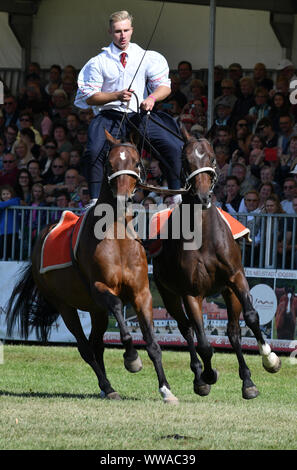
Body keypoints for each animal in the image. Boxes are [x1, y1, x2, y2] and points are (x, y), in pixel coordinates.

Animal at [5, 131, 178, 404]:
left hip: (96, 310)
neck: (117, 237)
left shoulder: (141, 293)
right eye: (109, 163)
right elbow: (120, 314)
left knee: (96, 345)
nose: (123, 199)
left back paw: (107, 387)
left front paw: (166, 390)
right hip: (65, 306)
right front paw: (132, 359)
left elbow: (152, 343)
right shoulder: (101, 288)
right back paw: (107, 386)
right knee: (86, 348)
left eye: (136, 162)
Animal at [153, 131, 280, 400]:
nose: (203, 196)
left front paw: (270, 359)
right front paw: (207, 375)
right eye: (185, 159)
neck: (204, 234)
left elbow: (251, 317)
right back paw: (200, 376)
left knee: (232, 332)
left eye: (211, 157)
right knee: (187, 330)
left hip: (227, 291)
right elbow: (203, 342)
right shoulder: (191, 293)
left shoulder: (236, 277)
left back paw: (247, 381)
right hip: (169, 295)